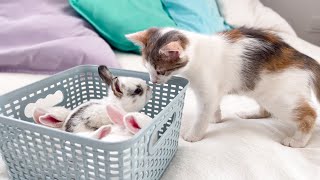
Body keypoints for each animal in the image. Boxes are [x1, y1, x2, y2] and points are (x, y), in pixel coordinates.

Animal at [126, 27, 320, 148]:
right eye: (146, 68)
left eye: (160, 71)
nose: (154, 81)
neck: (198, 54)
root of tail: (303, 57)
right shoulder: (215, 89)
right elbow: (215, 104)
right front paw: (216, 117)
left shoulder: (208, 90)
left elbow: (203, 113)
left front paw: (194, 135)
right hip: (259, 88)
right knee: (266, 110)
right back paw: (248, 113)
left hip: (279, 97)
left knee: (309, 114)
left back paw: (298, 141)